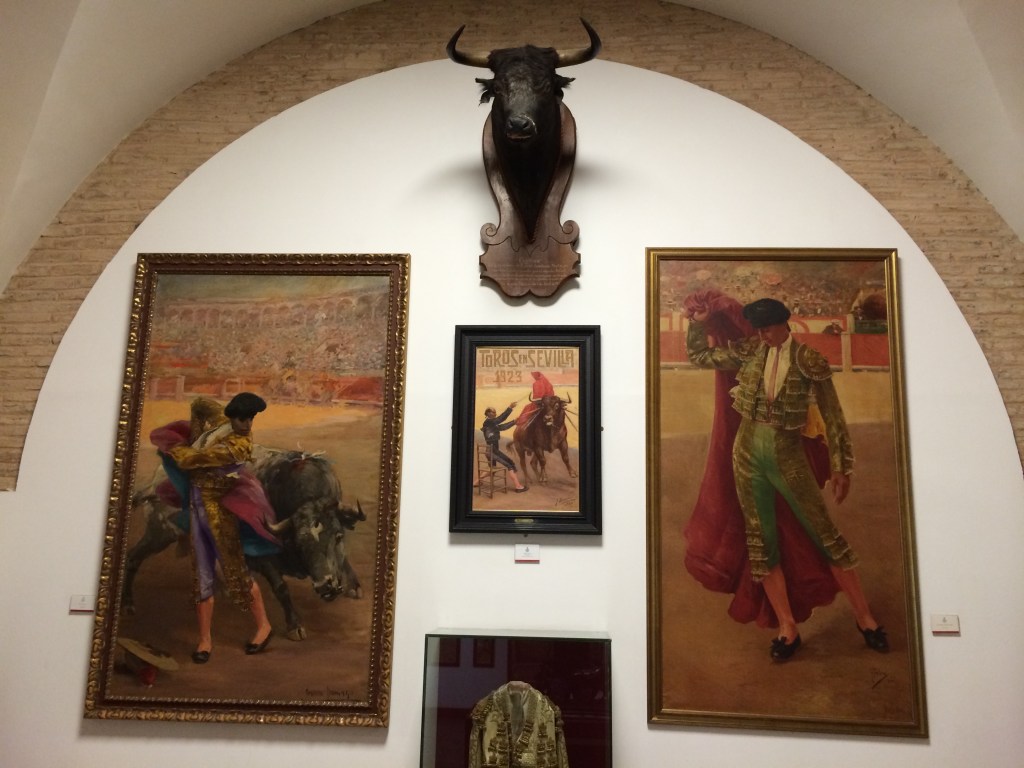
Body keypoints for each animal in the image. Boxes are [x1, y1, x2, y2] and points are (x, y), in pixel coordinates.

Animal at [122, 450, 365, 642]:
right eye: (299, 543)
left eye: (338, 536)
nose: (326, 586)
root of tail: (155, 481)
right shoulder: (263, 559)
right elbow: (281, 588)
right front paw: (295, 625)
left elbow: (344, 559)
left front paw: (354, 586)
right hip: (161, 532)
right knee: (133, 557)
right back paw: (127, 604)